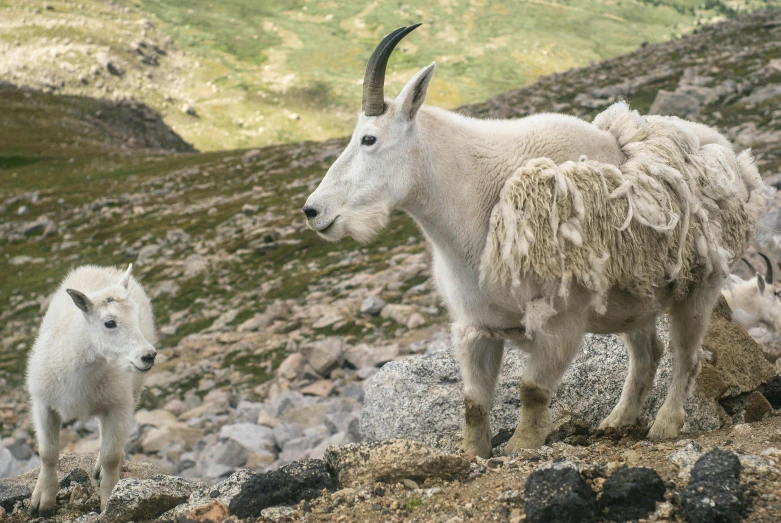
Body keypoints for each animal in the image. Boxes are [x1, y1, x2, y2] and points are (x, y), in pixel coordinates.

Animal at [26, 266, 157, 516]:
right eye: (109, 323)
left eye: (136, 317)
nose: (148, 356)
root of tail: (104, 269)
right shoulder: (44, 404)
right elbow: (47, 454)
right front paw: (42, 502)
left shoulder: (119, 405)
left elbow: (111, 456)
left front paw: (110, 500)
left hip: (129, 392)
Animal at [304, 25, 768, 458]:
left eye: (369, 138)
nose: (314, 211)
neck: (477, 198)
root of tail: (734, 159)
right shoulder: (478, 325)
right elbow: (473, 403)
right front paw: (473, 454)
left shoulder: (560, 319)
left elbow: (531, 389)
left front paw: (521, 446)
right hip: (634, 296)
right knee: (647, 352)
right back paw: (617, 420)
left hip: (700, 284)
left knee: (686, 355)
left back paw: (665, 425)